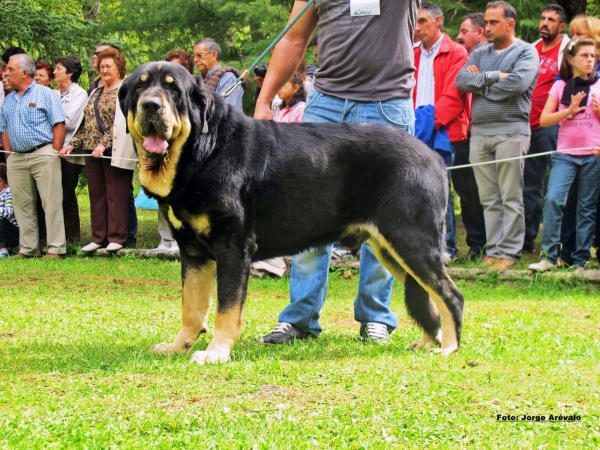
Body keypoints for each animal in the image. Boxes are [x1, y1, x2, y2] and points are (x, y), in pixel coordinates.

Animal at [118, 62, 464, 366]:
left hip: (410, 241)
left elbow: (226, 309)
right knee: (426, 294)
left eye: (173, 90)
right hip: (391, 249)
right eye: (140, 87)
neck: (204, 151)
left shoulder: (232, 246)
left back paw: (448, 347)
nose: (151, 106)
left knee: (450, 295)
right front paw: (178, 345)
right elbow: (191, 307)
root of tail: (433, 156)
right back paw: (427, 342)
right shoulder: (193, 251)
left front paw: (216, 352)